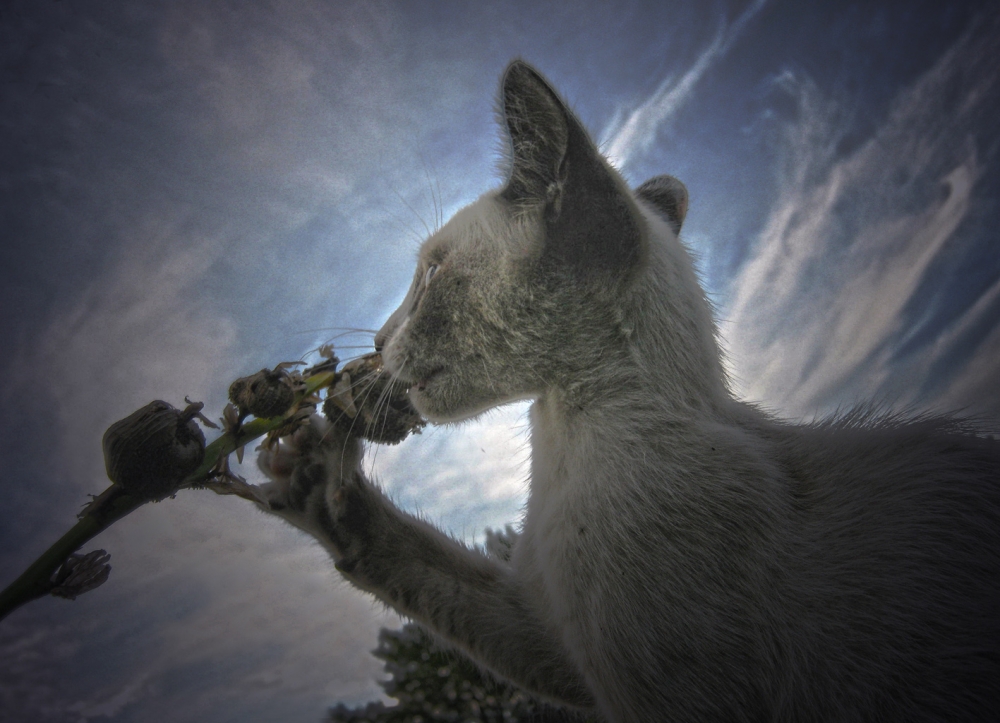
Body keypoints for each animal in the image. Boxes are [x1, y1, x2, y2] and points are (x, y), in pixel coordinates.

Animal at [256, 62, 1000, 723]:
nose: (380, 340)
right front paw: (316, 482)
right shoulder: (556, 638)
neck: (566, 450)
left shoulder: (667, 693)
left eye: (432, 273)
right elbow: (439, 576)